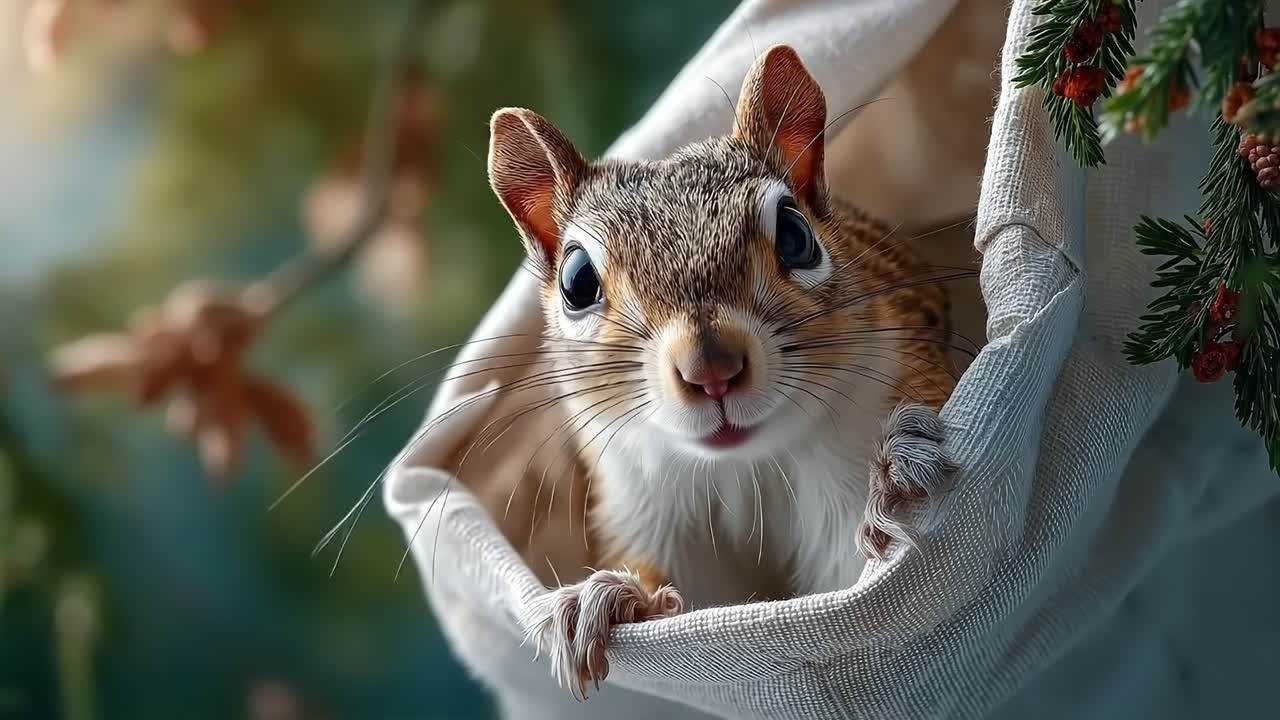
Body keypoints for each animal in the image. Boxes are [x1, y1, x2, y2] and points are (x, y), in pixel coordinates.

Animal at [485, 44, 958, 700]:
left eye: (796, 236)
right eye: (577, 281)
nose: (711, 367)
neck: (746, 470)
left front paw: (893, 477)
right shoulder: (643, 507)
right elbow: (683, 598)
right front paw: (605, 599)